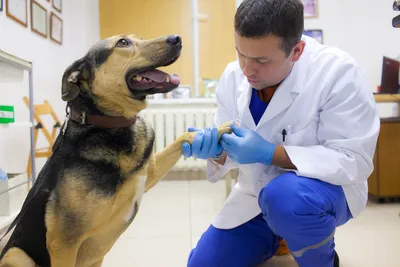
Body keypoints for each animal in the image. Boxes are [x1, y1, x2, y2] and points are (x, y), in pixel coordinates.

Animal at [0, 34, 231, 267]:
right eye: (123, 43)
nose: (176, 38)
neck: (109, 124)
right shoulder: (63, 241)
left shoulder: (148, 175)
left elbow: (182, 138)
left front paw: (218, 129)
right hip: (16, 254)